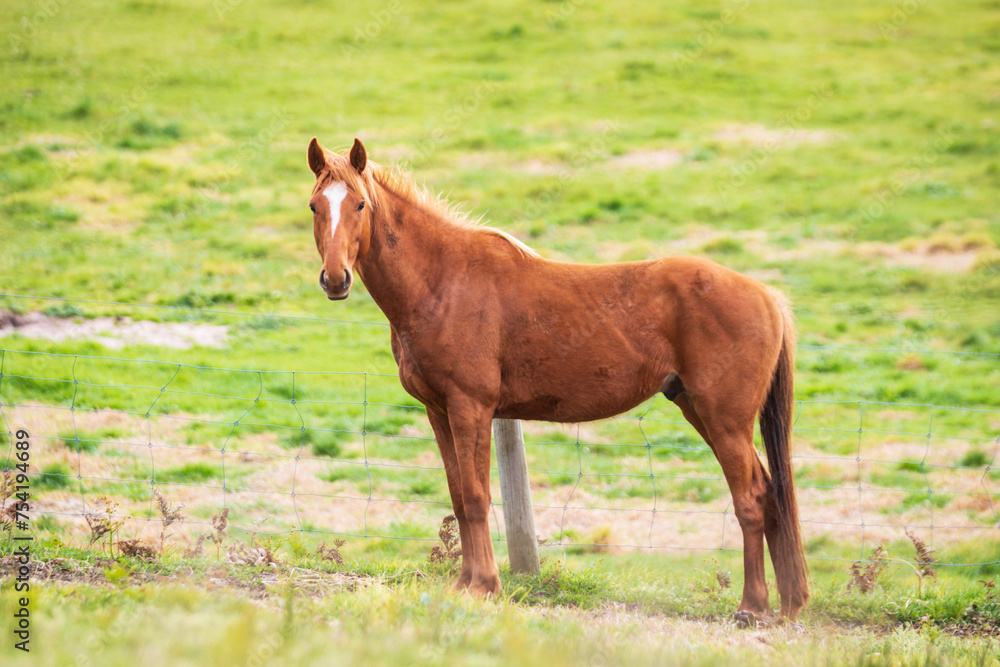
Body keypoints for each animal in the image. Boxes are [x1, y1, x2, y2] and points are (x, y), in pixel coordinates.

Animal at [305, 136, 810, 621]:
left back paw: (752, 606)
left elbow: (475, 496)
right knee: (770, 495)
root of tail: (766, 295)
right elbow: (457, 495)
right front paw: (464, 583)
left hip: (725, 421)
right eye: (314, 206)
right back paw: (787, 604)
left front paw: (484, 586)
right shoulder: (438, 411)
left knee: (751, 499)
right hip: (698, 409)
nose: (336, 279)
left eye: (360, 204)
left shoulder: (471, 408)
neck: (443, 282)